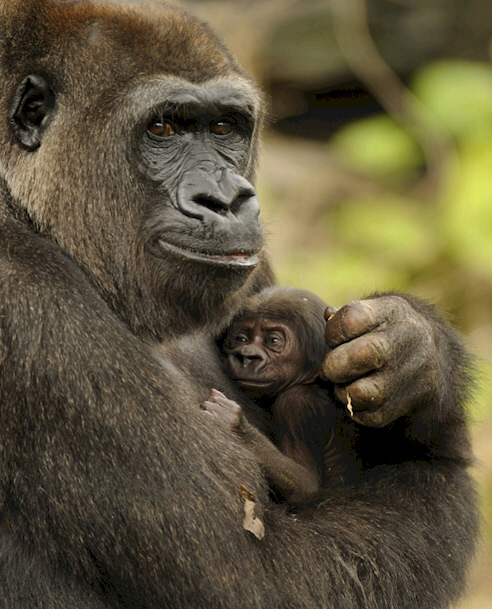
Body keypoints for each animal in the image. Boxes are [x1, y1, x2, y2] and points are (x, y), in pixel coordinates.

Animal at [202, 288, 356, 502]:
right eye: (241, 339)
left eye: (274, 341)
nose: (248, 356)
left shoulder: (296, 403)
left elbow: (306, 485)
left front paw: (237, 426)